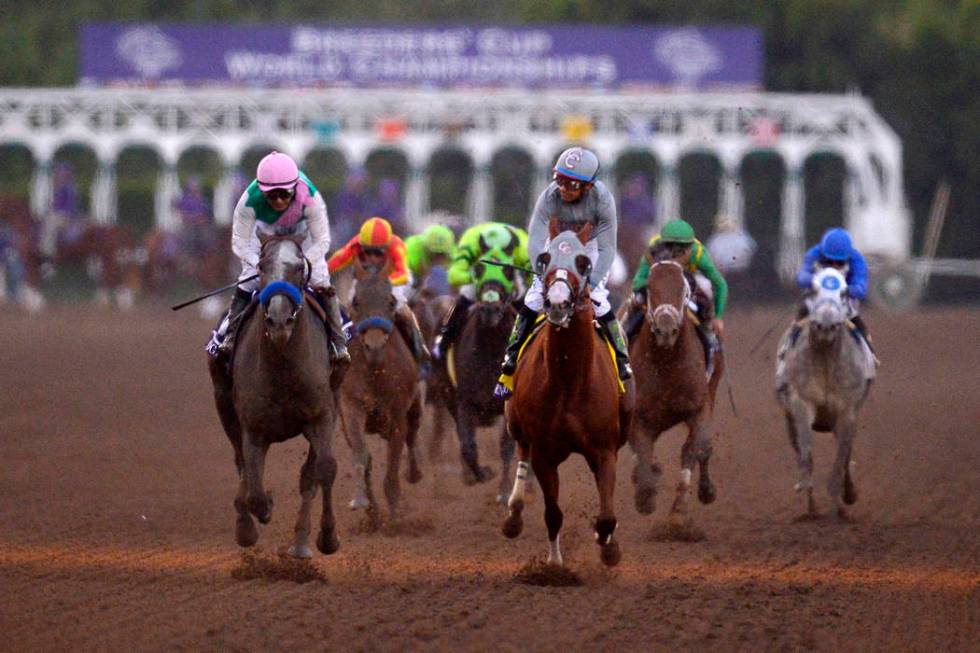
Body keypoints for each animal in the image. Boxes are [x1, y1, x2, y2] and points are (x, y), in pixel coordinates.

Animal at [209, 233, 342, 556]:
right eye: (261, 266)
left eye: (299, 267)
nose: (279, 321)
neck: (283, 364)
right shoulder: (254, 429)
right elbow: (255, 489)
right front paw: (258, 514)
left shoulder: (322, 415)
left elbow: (324, 469)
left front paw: (328, 537)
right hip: (224, 406)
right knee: (241, 464)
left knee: (309, 475)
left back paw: (300, 545)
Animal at [506, 222, 636, 568]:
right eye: (545, 258)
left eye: (583, 262)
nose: (558, 302)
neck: (570, 380)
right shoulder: (545, 452)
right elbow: (553, 513)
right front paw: (554, 566)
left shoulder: (605, 449)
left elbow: (606, 516)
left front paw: (609, 547)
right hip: (516, 423)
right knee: (521, 451)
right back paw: (513, 513)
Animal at [624, 253, 724, 524]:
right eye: (649, 288)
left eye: (685, 289)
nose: (666, 329)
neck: (667, 363)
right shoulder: (639, 416)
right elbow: (642, 451)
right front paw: (645, 496)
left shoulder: (698, 408)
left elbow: (691, 450)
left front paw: (679, 511)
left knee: (704, 448)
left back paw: (706, 489)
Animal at [776, 266, 876, 520]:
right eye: (812, 289)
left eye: (843, 292)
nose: (826, 325)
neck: (825, 358)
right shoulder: (801, 402)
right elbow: (806, 452)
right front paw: (806, 488)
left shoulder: (847, 411)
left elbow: (841, 458)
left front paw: (841, 504)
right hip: (788, 419)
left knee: (846, 451)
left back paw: (847, 494)